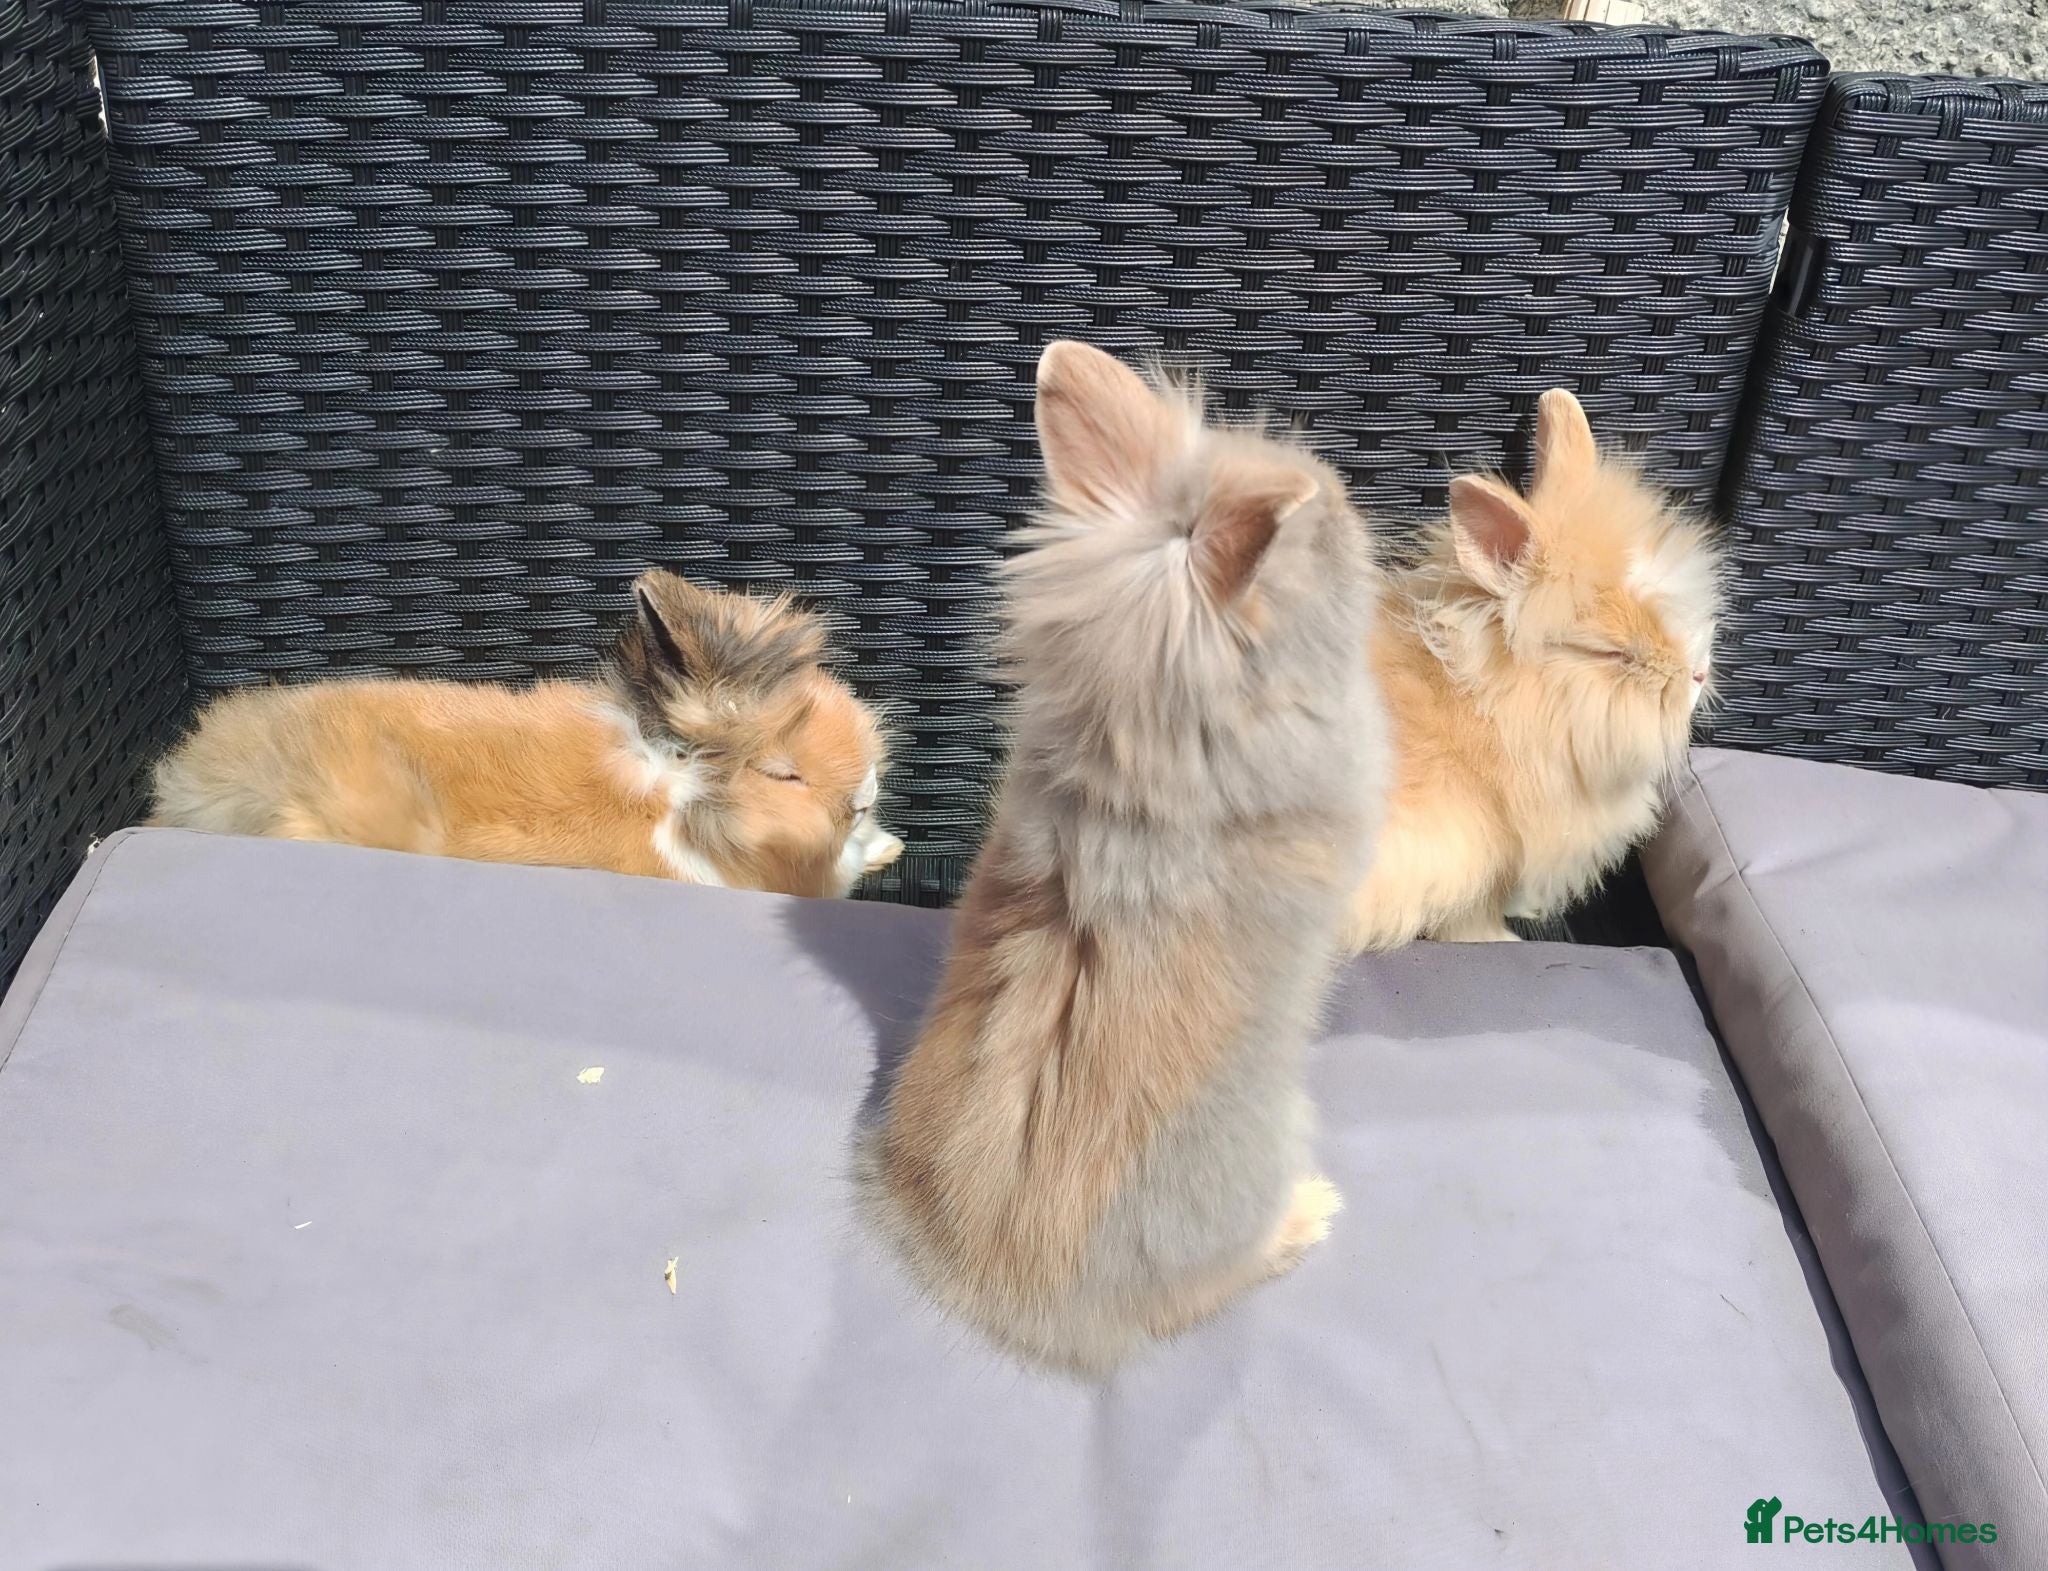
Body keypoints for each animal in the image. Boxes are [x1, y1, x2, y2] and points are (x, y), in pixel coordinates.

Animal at [1343, 388, 1722, 949]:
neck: (1485, 713)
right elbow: (1470, 916)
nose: (1697, 675)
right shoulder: (1469, 855)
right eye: (1612, 654)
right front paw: (1504, 941)